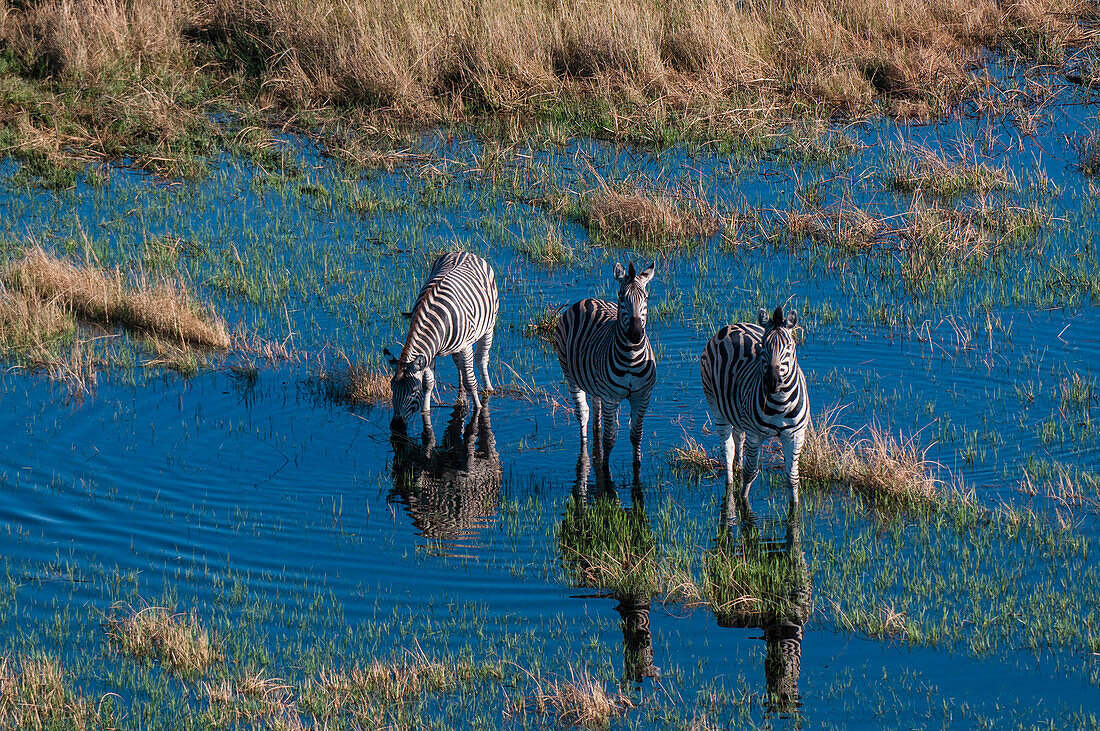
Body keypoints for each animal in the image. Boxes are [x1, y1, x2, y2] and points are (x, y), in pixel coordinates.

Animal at [382, 250, 495, 433]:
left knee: (481, 359)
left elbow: (471, 381)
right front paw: (426, 411)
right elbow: (428, 383)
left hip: (488, 327)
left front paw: (478, 408)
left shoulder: (466, 346)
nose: (396, 428)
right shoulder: (430, 351)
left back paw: (488, 388)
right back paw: (461, 394)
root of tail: (463, 251)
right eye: (392, 389)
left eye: (413, 391)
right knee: (459, 363)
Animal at [554, 262, 655, 472]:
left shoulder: (642, 396)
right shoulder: (611, 398)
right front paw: (604, 469)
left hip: (595, 385)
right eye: (622, 297)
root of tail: (588, 300)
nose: (635, 334)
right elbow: (609, 439)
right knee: (583, 414)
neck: (632, 358)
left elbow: (636, 436)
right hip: (570, 375)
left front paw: (637, 465)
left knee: (596, 412)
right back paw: (585, 449)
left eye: (646, 297)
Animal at [704, 305, 809, 505]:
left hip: (737, 412)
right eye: (762, 346)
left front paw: (795, 507)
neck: (780, 401)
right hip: (716, 407)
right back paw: (730, 483)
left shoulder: (796, 435)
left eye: (789, 347)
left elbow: (792, 477)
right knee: (728, 448)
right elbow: (750, 473)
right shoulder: (755, 435)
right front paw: (743, 502)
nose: (772, 382)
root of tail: (733, 325)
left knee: (738, 438)